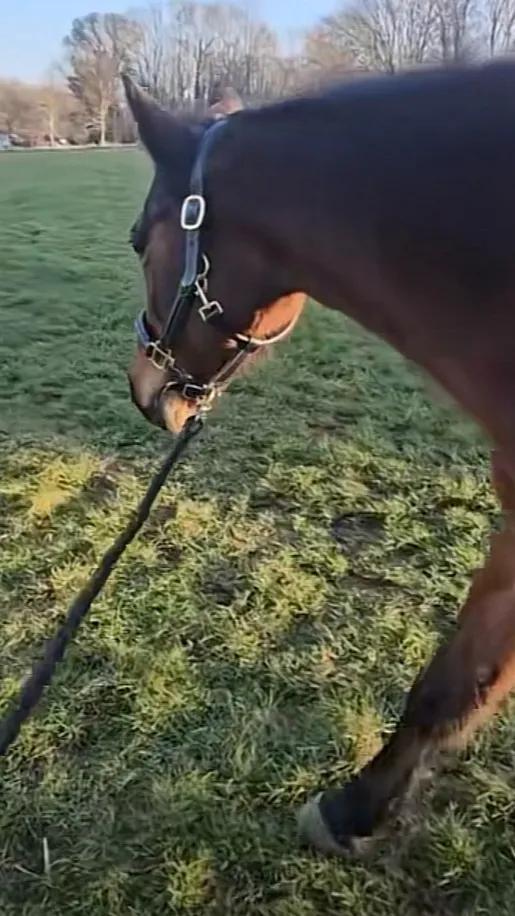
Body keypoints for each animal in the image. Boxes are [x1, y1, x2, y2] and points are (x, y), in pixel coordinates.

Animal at [123, 59, 515, 856]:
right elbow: (462, 675)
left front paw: (348, 809)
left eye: (140, 240)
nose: (142, 387)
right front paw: (361, 808)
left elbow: (449, 682)